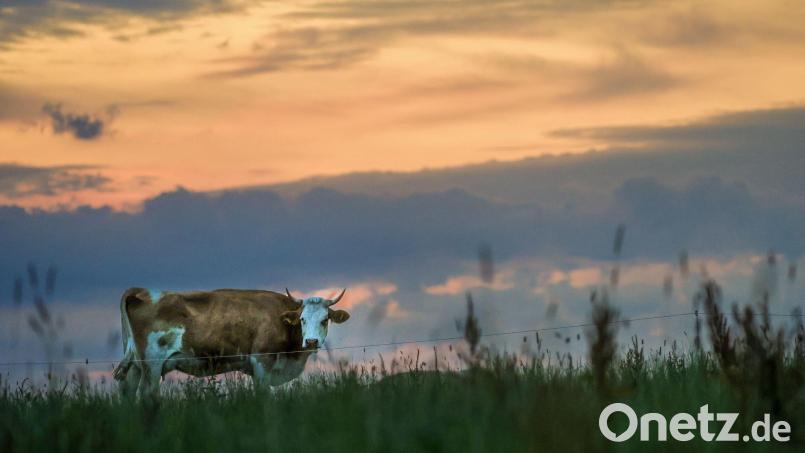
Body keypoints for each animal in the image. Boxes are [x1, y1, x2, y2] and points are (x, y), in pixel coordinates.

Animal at [112, 287, 350, 396]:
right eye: (302, 319)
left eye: (325, 319)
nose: (311, 341)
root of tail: (141, 291)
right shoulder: (261, 361)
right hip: (151, 365)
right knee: (146, 394)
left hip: (135, 365)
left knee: (127, 390)